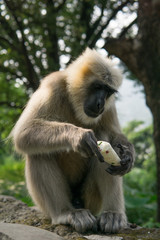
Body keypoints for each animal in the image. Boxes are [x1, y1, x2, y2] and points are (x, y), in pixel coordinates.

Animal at [12, 47, 135, 233]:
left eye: (107, 92)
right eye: (97, 87)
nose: (100, 103)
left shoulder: (109, 104)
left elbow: (114, 136)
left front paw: (128, 155)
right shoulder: (53, 85)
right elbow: (23, 133)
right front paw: (79, 136)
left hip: (90, 199)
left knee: (103, 135)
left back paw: (113, 214)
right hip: (45, 206)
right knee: (38, 151)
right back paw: (65, 213)